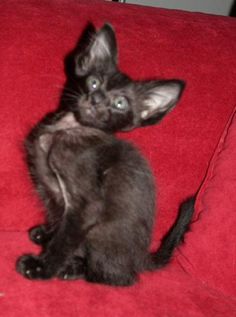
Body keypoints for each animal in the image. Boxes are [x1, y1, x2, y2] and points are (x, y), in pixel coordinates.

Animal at [16, 24, 194, 284]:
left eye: (120, 103)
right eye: (94, 82)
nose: (96, 98)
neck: (68, 129)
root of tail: (140, 258)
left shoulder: (86, 206)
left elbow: (65, 240)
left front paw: (42, 267)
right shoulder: (51, 192)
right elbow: (59, 222)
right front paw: (48, 234)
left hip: (103, 234)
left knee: (118, 277)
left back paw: (75, 269)